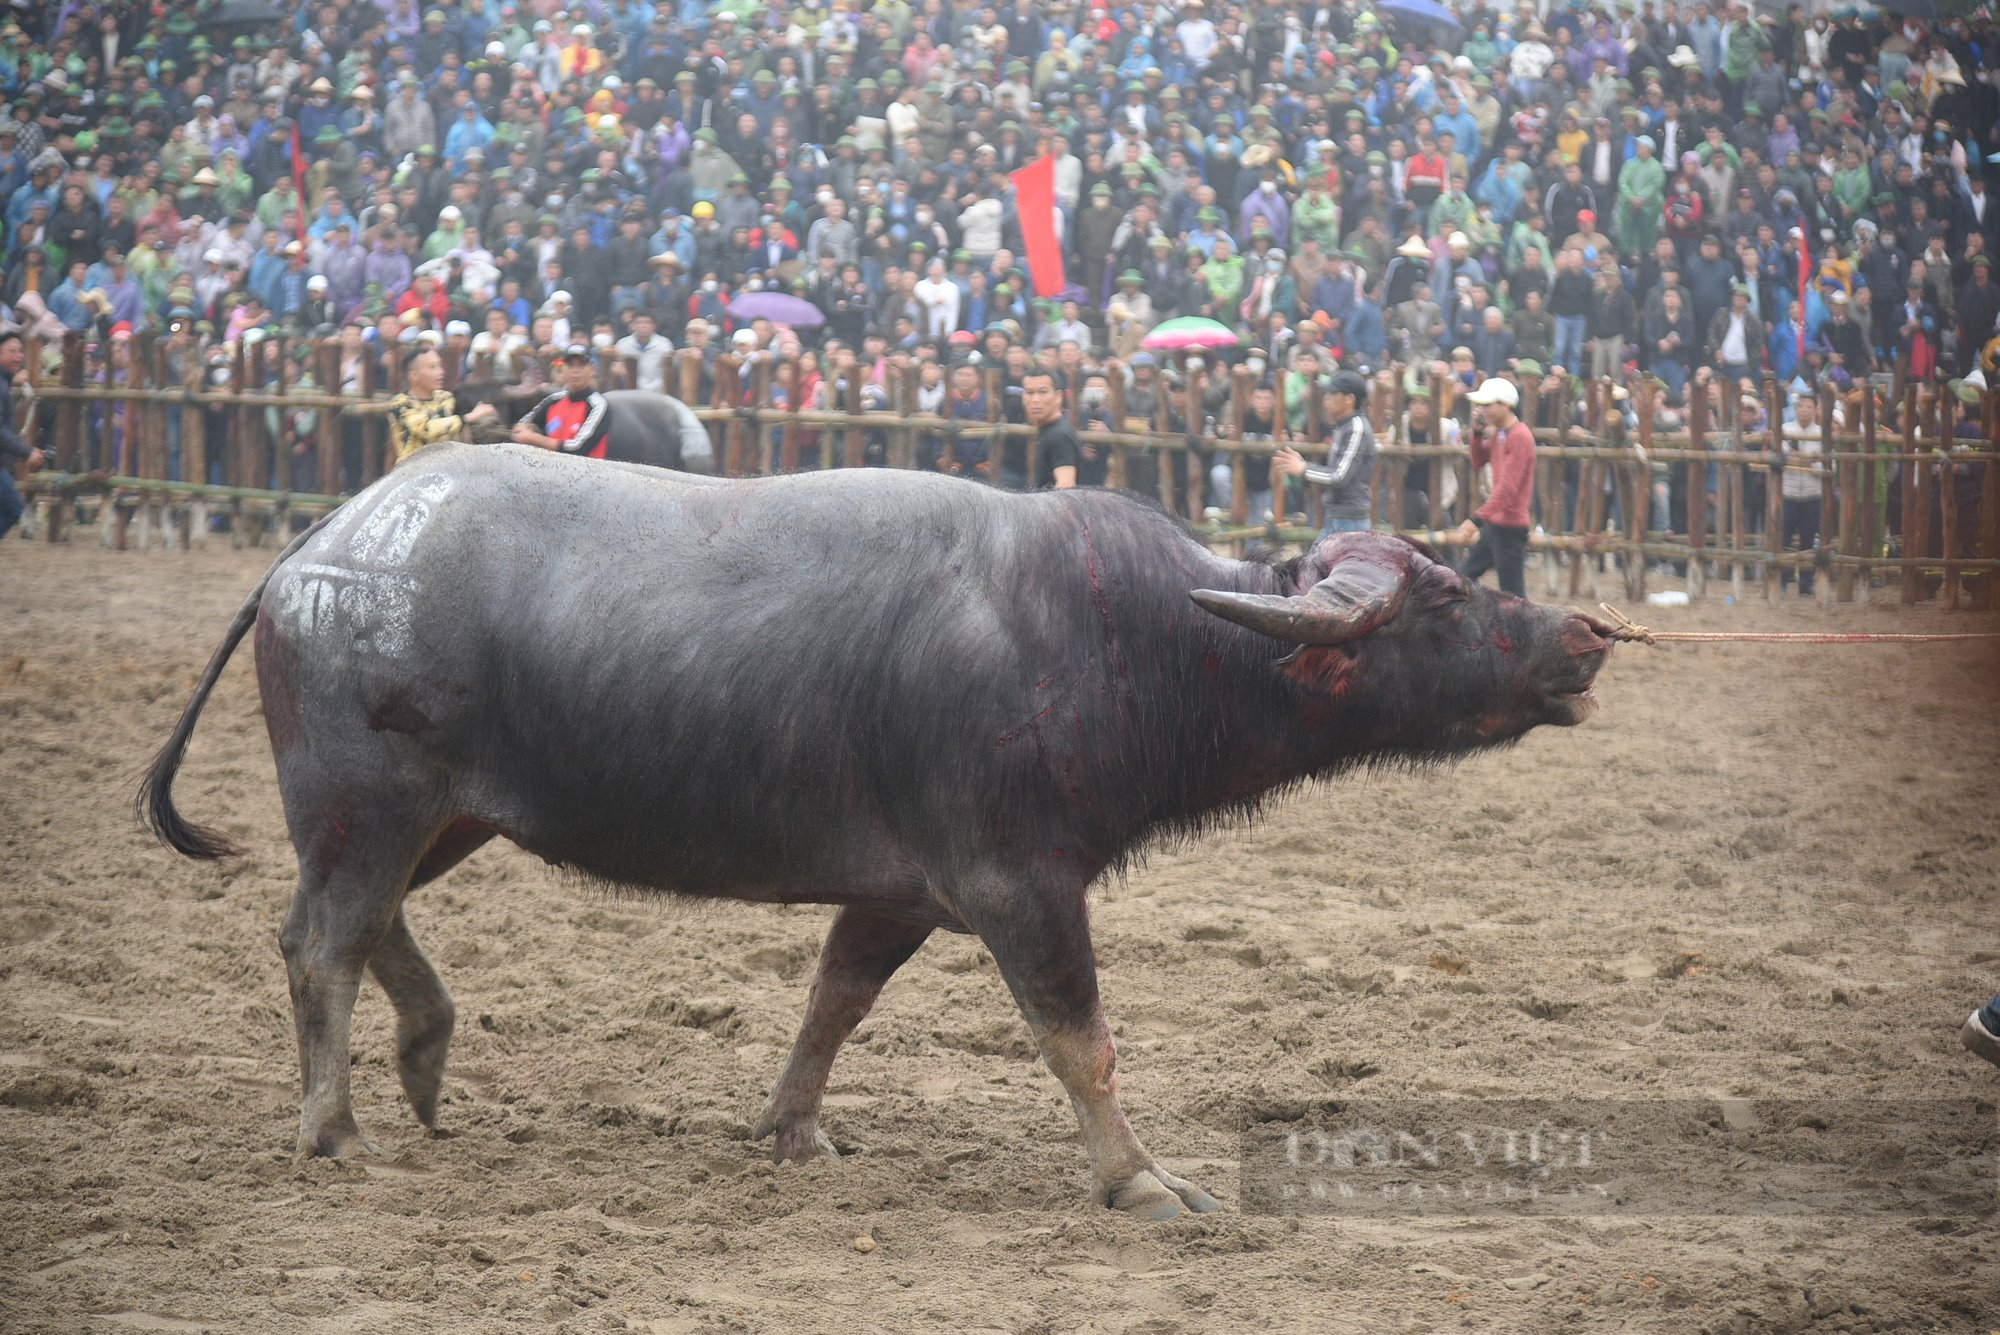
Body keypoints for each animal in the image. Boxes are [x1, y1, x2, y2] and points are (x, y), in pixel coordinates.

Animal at [141, 443, 1608, 1215]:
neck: (1117, 636)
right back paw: (337, 1125)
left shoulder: (900, 893)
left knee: (362, 920)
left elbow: (833, 1001)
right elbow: (1082, 1041)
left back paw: (430, 1052)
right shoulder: (1019, 885)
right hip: (369, 802)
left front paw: (792, 1128)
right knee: (320, 938)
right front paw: (1142, 1181)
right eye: (1444, 597)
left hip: (445, 813)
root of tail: (311, 552)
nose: (1584, 632)